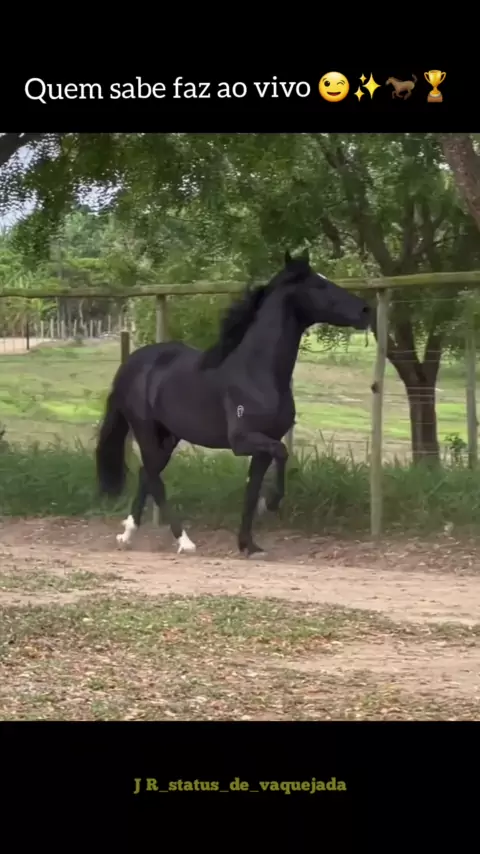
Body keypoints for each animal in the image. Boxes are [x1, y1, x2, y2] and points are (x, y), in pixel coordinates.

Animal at [95, 249, 372, 557]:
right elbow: (282, 455)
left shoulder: (264, 444)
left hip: (168, 436)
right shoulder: (243, 440)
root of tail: (130, 365)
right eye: (320, 285)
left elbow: (252, 490)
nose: (365, 310)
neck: (257, 371)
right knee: (154, 478)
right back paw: (185, 542)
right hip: (144, 429)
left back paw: (127, 535)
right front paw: (270, 504)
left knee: (147, 473)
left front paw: (249, 545)